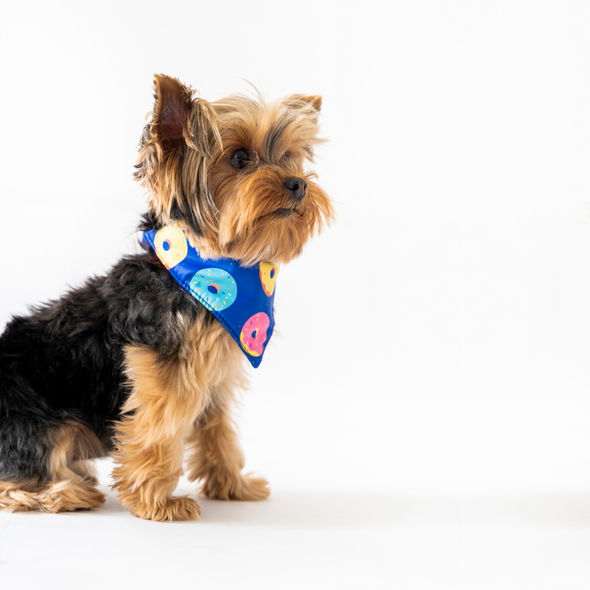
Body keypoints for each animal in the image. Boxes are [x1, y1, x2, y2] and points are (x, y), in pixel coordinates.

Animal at [0, 74, 332, 524]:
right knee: (19, 474)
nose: (298, 184)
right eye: (239, 158)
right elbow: (158, 431)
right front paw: (157, 503)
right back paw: (66, 493)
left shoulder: (216, 373)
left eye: (289, 157)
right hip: (32, 420)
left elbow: (218, 430)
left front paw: (232, 485)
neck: (210, 271)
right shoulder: (166, 372)